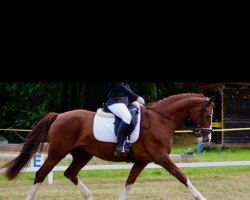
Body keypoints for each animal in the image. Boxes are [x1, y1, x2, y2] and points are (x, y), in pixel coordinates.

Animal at [0, 93, 215, 199]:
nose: (206, 138)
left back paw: (89, 196)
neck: (160, 120)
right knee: (41, 174)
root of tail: (59, 116)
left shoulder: (142, 161)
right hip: (58, 152)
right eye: (208, 114)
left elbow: (129, 183)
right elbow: (183, 177)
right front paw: (202, 197)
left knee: (70, 173)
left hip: (82, 154)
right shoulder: (161, 157)